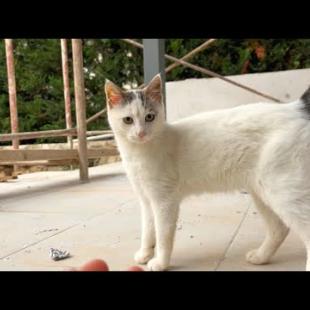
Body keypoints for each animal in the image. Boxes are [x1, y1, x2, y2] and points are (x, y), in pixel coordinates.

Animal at [105, 75, 310, 272]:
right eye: (128, 120)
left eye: (150, 117)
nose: (141, 133)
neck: (137, 153)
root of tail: (293, 108)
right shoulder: (147, 201)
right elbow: (148, 231)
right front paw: (145, 253)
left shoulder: (164, 201)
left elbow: (162, 235)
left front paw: (161, 263)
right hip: (261, 192)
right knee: (280, 228)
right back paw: (260, 257)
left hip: (283, 192)